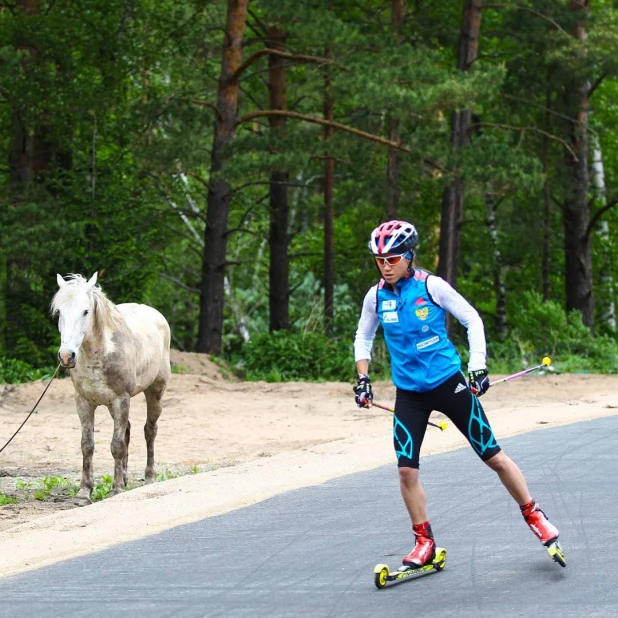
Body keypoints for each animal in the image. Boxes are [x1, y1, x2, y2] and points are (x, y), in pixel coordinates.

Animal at [50, 272, 170, 502]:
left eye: (85, 311)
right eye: (59, 312)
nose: (67, 356)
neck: (99, 354)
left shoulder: (121, 399)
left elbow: (117, 445)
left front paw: (116, 489)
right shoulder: (84, 402)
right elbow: (87, 445)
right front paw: (84, 492)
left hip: (155, 391)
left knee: (150, 430)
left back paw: (150, 477)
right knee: (128, 431)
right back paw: (125, 477)